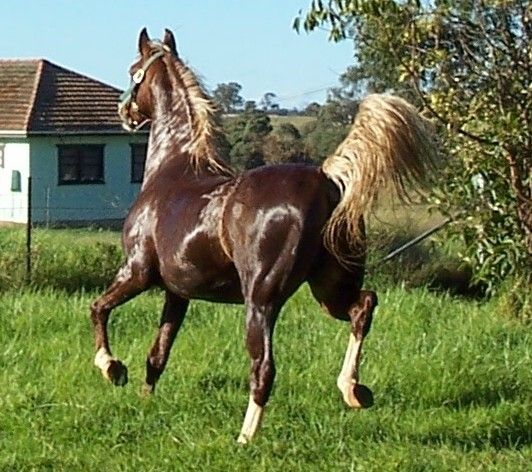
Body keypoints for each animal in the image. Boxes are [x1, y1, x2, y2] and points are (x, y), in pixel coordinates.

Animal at [90, 28, 437, 444]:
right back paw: (353, 390)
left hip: (261, 299)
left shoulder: (138, 272)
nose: (124, 113)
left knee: (264, 367)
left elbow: (98, 308)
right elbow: (158, 353)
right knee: (363, 306)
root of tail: (325, 179)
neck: (174, 167)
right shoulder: (178, 293)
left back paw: (245, 438)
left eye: (133, 71)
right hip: (329, 288)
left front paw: (111, 368)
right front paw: (144, 401)